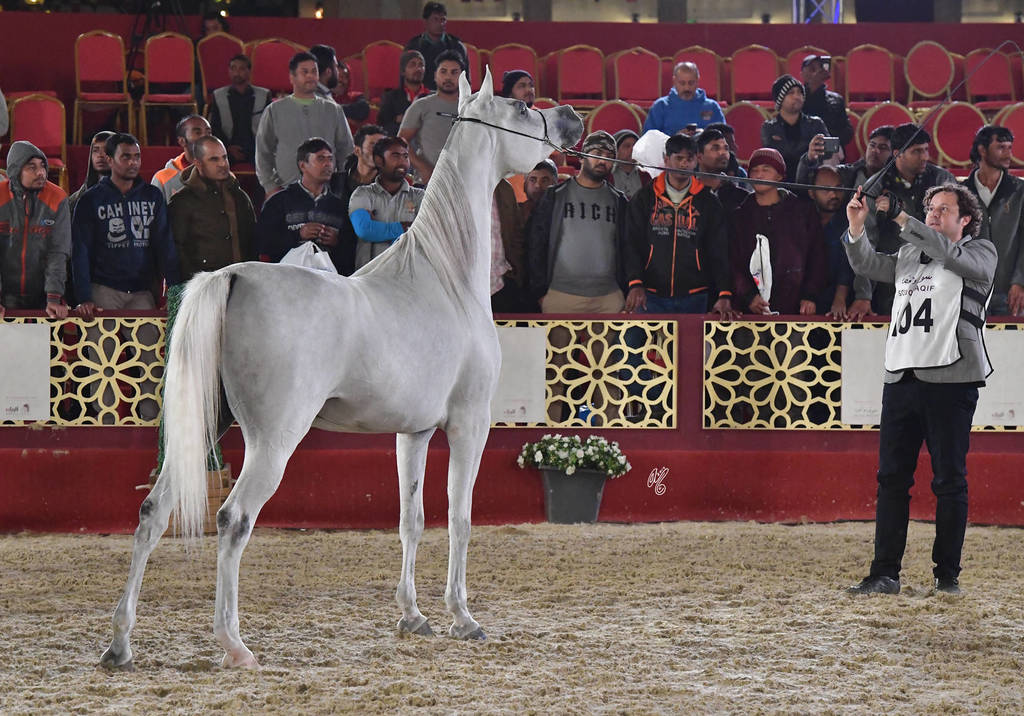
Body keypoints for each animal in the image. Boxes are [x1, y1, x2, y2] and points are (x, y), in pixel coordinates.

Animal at [99, 68, 584, 670]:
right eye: (521, 107)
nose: (572, 119)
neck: (443, 277)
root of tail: (231, 277)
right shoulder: (469, 424)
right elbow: (460, 518)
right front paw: (462, 618)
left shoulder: (413, 433)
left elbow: (411, 519)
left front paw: (413, 616)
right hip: (273, 440)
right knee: (232, 520)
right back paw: (234, 645)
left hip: (203, 427)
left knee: (152, 512)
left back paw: (120, 645)